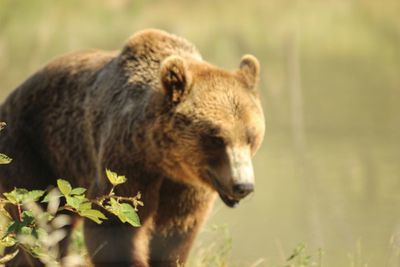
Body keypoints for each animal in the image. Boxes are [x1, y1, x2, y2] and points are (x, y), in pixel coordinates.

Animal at [0, 28, 266, 266]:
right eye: (216, 138)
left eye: (251, 137)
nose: (243, 185)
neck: (162, 157)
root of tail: (9, 99)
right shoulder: (126, 159)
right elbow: (115, 224)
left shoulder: (185, 186)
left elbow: (175, 233)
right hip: (32, 151)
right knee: (44, 221)